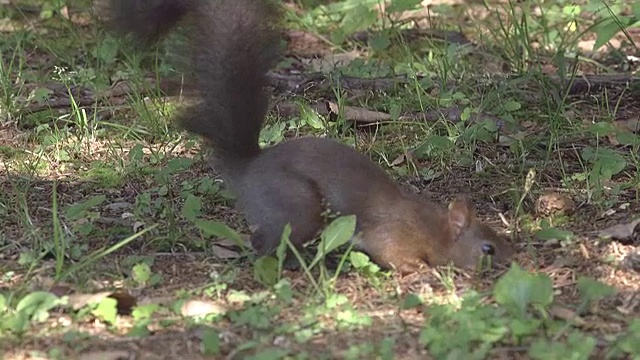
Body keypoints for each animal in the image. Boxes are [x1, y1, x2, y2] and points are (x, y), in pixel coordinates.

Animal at [105, 0, 516, 272]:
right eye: (488, 249)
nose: (514, 262)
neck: (435, 228)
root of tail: (249, 169)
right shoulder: (392, 234)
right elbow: (391, 253)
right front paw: (419, 270)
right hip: (297, 206)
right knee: (265, 244)